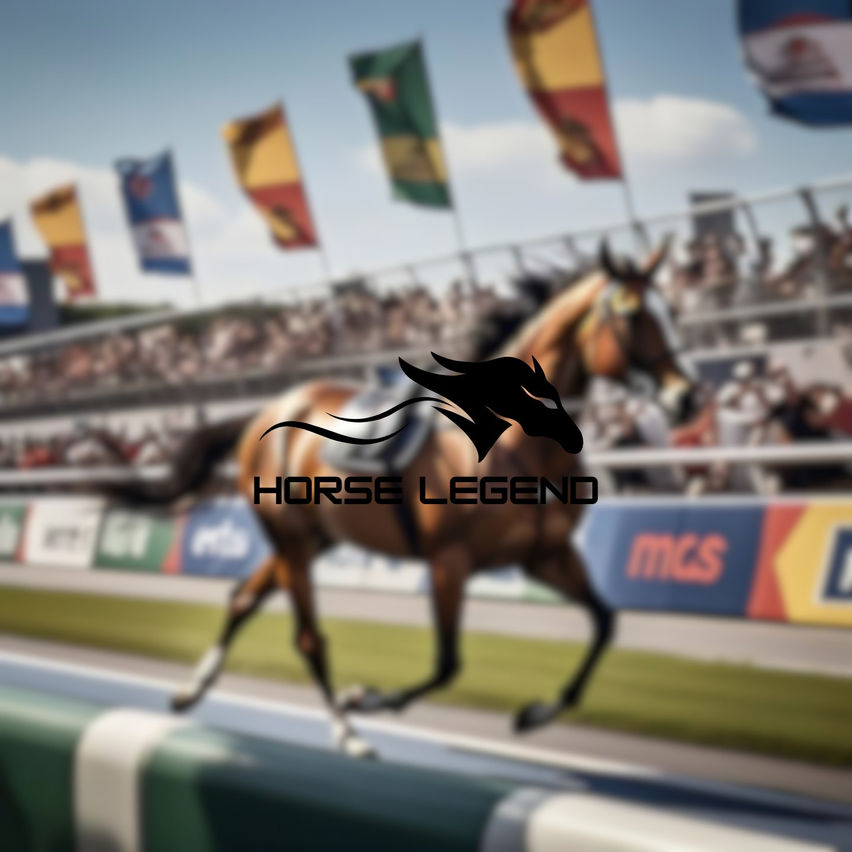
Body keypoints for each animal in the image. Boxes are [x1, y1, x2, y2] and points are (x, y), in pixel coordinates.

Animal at [121, 240, 697, 758]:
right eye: (632, 315)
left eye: (672, 311)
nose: (687, 397)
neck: (516, 445)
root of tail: (266, 411)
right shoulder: (449, 561)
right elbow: (447, 664)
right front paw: (367, 698)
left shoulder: (546, 555)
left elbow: (604, 623)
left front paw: (536, 712)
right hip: (293, 539)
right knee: (307, 636)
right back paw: (347, 732)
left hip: (312, 539)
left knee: (244, 597)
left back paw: (191, 689)